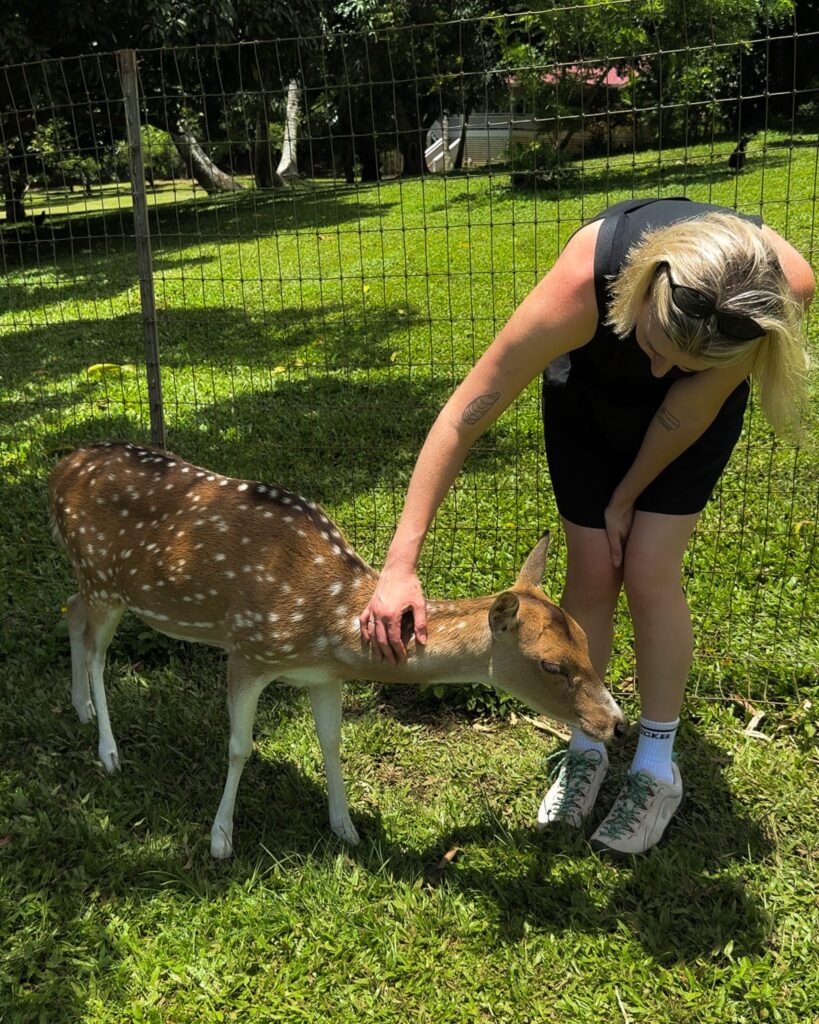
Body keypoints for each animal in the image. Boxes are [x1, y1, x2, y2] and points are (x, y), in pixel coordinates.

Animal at [50, 442, 626, 858]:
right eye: (551, 664)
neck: (328, 626)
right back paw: (108, 751)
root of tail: (59, 471)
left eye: (585, 640)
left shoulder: (323, 676)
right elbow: (239, 747)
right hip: (103, 578)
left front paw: (345, 827)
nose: (617, 724)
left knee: (71, 611)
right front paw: (220, 839)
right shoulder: (249, 649)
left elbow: (331, 742)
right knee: (96, 651)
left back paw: (80, 709)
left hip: (92, 582)